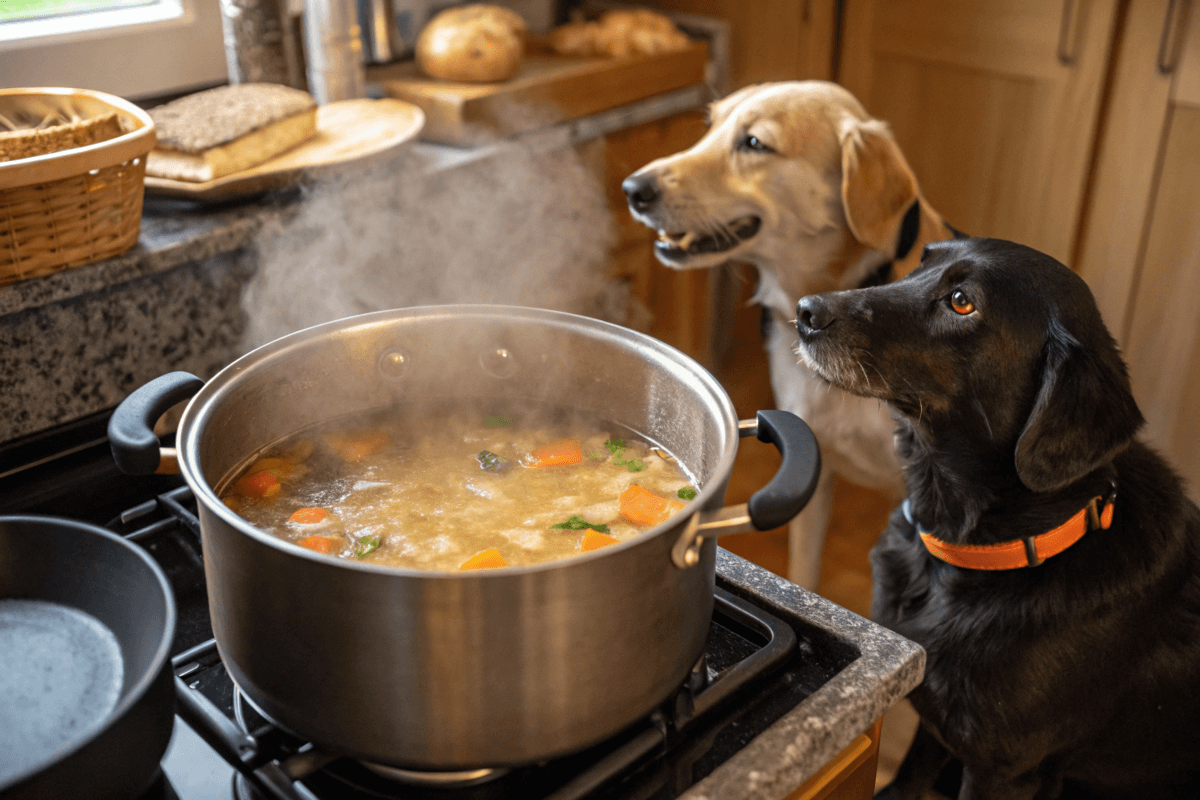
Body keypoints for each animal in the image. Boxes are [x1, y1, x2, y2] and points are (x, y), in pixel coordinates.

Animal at [792, 239, 1195, 800]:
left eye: (962, 302)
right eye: (921, 262)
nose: (805, 311)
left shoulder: (1003, 769)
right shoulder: (941, 720)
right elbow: (911, 771)